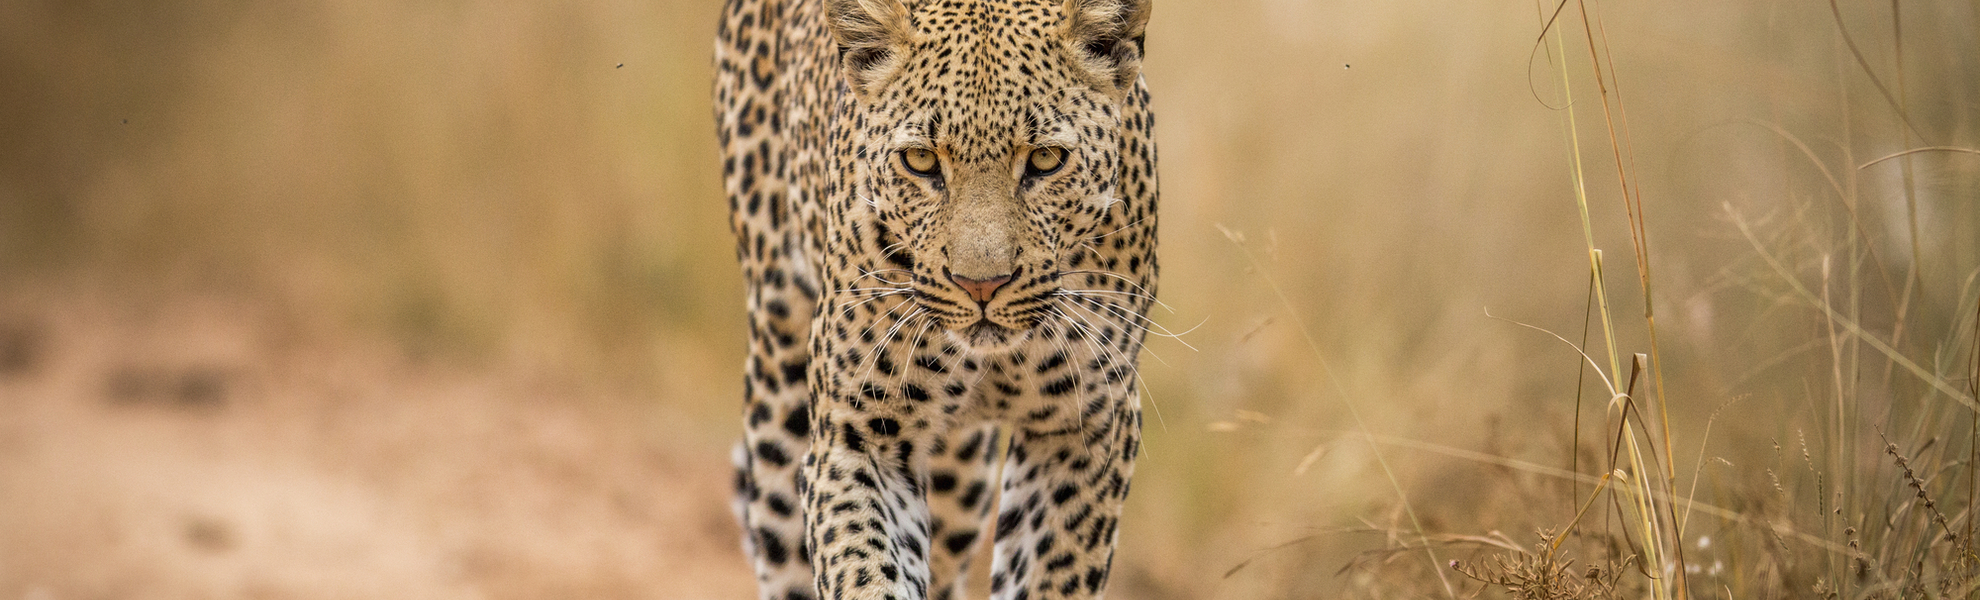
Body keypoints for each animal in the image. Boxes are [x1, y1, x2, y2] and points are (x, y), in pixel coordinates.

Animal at [713, 0, 1159, 598]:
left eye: (1045, 159)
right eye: (922, 162)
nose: (981, 284)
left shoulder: (1084, 428)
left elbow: (1052, 571)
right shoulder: (858, 435)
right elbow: (863, 567)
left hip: (963, 473)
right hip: (777, 383)